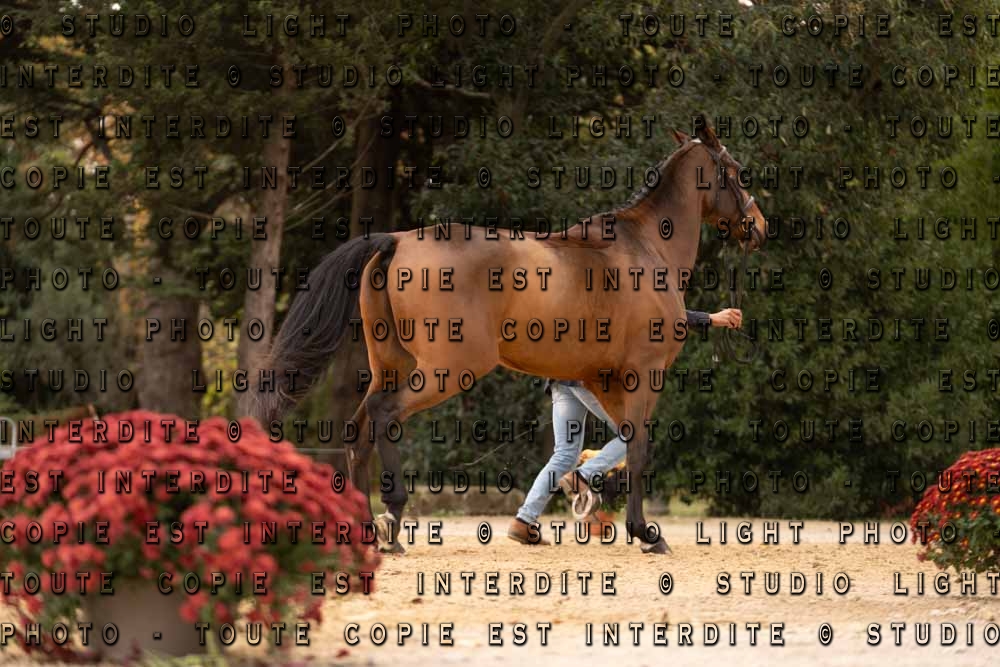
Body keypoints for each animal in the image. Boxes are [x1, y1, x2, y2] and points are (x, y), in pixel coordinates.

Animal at [252, 115, 767, 554]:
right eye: (736, 172)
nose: (758, 226)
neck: (645, 249)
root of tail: (397, 240)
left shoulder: (604, 380)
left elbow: (616, 446)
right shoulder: (645, 374)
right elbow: (638, 450)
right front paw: (646, 533)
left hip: (391, 366)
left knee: (359, 430)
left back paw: (369, 530)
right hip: (445, 371)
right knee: (384, 416)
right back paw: (392, 516)